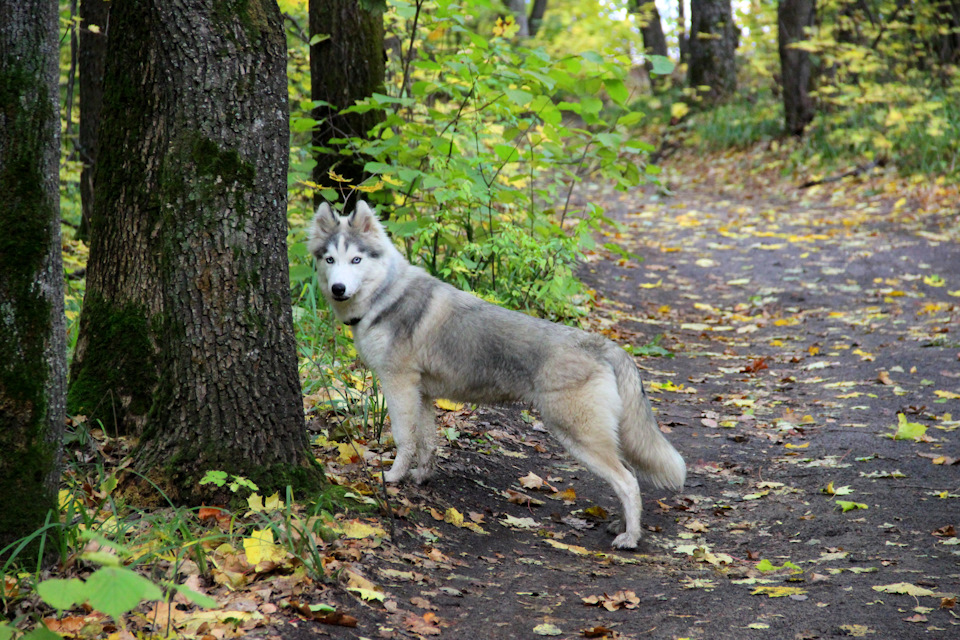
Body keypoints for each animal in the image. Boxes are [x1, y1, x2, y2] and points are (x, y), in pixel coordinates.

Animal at [308, 201, 684, 552]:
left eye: (356, 260)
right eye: (330, 260)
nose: (338, 288)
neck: (385, 298)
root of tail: (605, 346)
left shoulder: (398, 385)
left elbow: (404, 439)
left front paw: (394, 478)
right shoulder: (423, 394)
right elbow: (427, 443)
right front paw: (421, 478)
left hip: (579, 436)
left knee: (628, 482)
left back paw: (630, 538)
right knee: (629, 476)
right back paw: (620, 526)